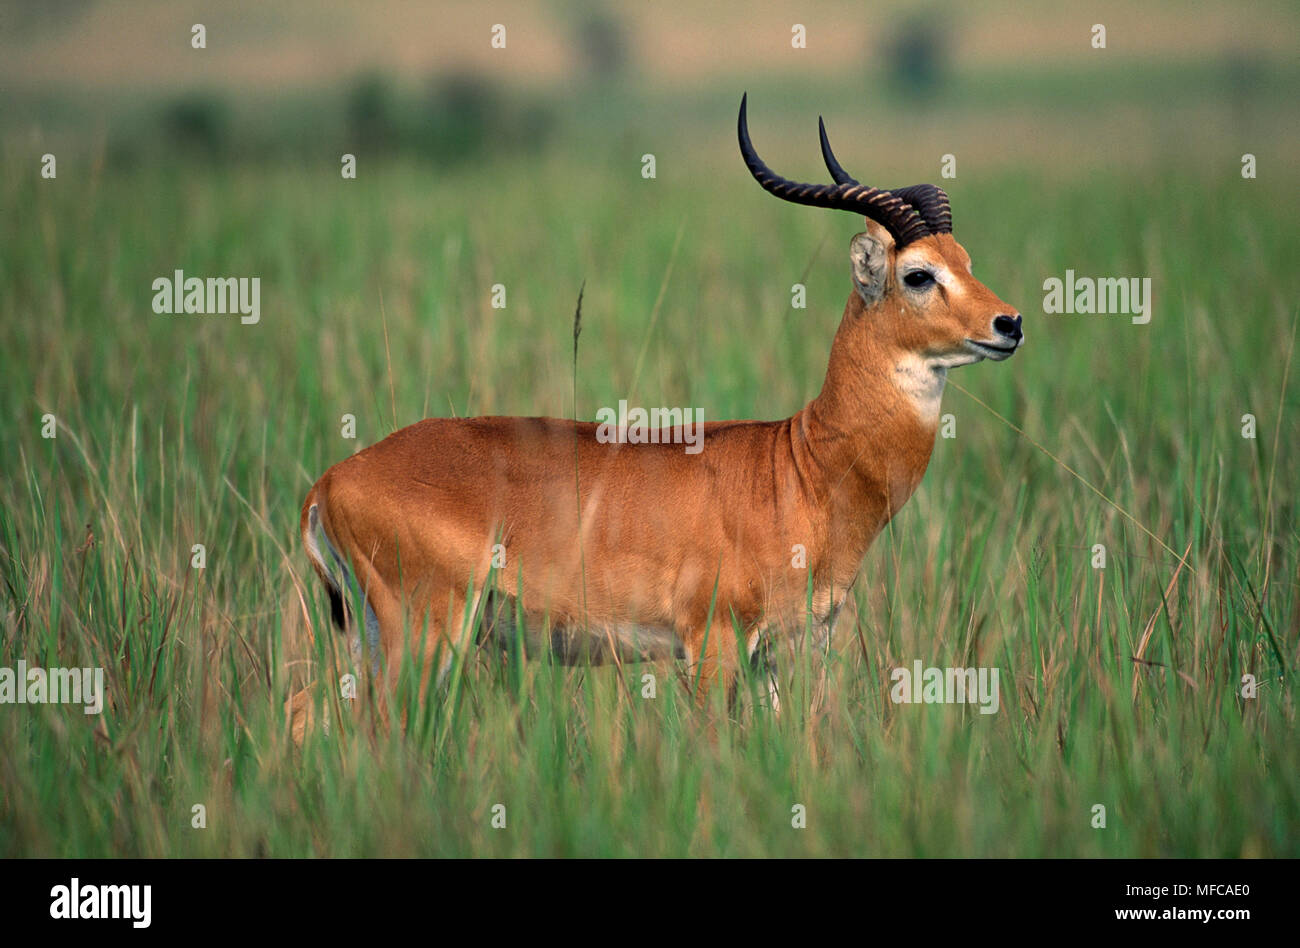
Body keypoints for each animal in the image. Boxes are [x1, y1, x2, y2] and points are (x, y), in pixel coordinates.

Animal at [297, 92, 1024, 723]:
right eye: (919, 275)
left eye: (966, 259)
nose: (1009, 323)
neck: (803, 465)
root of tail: (332, 479)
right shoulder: (713, 643)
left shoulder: (775, 657)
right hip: (424, 631)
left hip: (373, 635)